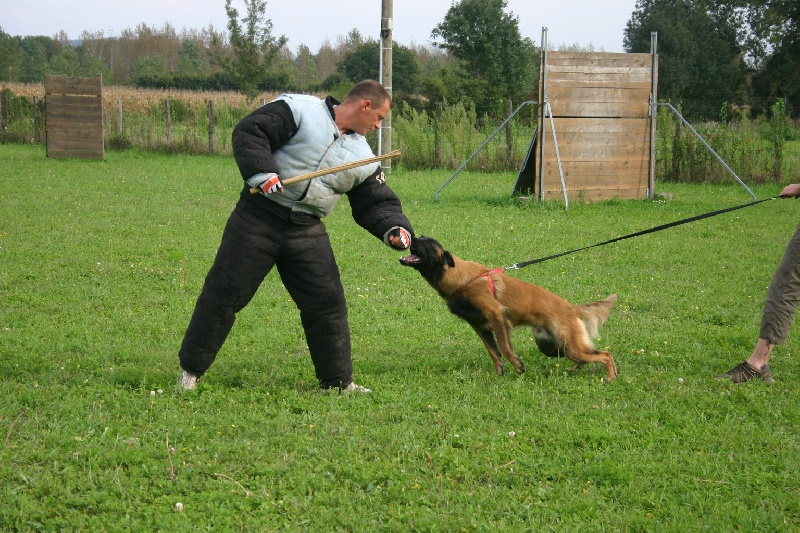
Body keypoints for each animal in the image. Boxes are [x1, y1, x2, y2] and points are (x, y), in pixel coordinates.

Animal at [400, 235, 620, 380]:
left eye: (427, 243)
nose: (411, 236)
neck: (460, 278)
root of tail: (572, 308)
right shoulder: (479, 325)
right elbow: (493, 351)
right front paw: (499, 372)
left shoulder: (496, 314)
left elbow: (504, 347)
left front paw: (517, 366)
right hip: (554, 347)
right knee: (590, 356)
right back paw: (578, 371)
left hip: (569, 345)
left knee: (605, 355)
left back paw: (610, 377)